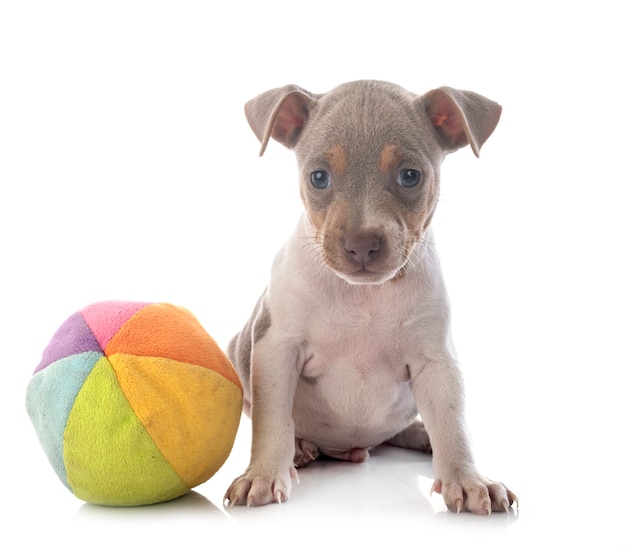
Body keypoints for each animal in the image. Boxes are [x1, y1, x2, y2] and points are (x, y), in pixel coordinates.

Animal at [222, 82, 516, 516]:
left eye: (410, 176)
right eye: (319, 177)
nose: (362, 244)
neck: (365, 297)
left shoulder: (436, 362)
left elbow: (451, 423)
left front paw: (467, 479)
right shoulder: (277, 349)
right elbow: (272, 419)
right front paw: (262, 473)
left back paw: (421, 435)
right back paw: (300, 449)